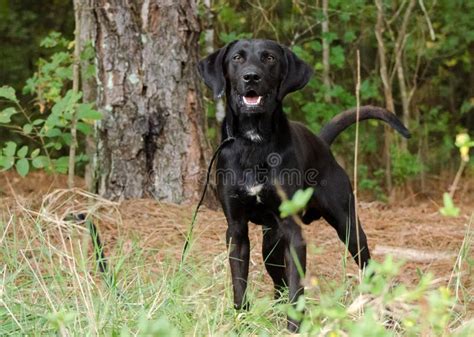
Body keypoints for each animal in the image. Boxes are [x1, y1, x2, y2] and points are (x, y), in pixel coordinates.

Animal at [198, 39, 410, 330]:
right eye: (237, 58)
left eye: (269, 58)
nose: (251, 76)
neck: (254, 142)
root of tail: (322, 143)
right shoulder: (236, 230)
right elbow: (239, 286)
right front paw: (242, 323)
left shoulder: (294, 234)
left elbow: (297, 290)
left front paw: (294, 329)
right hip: (270, 244)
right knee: (278, 281)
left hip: (349, 229)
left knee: (369, 270)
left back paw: (387, 318)